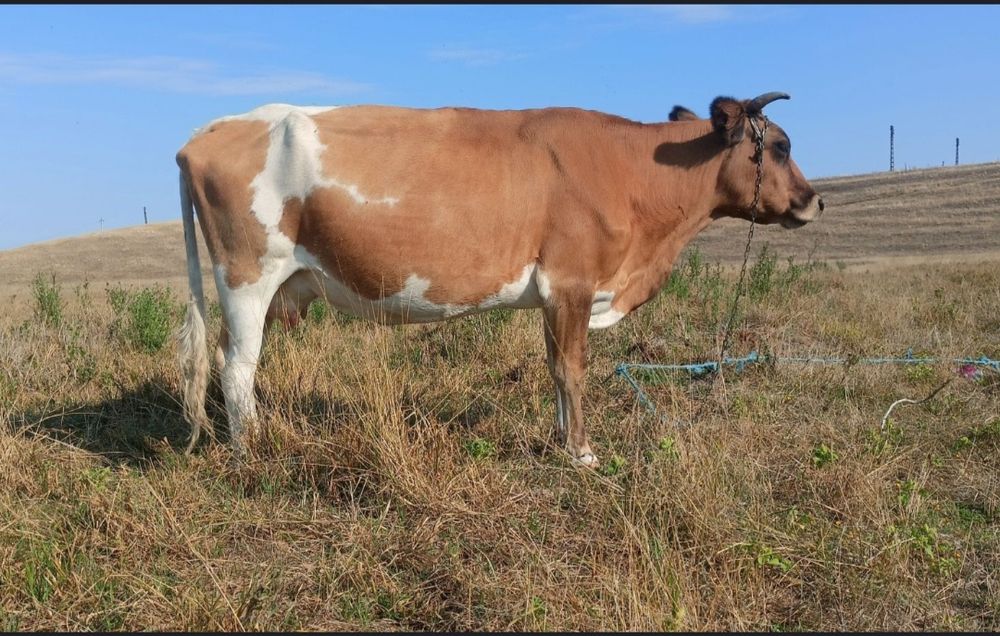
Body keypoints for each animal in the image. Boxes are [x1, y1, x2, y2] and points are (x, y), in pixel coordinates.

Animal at [175, 92, 824, 466]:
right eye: (782, 144)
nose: (815, 201)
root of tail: (207, 132)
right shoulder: (572, 282)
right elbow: (572, 369)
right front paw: (583, 454)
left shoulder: (555, 295)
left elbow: (555, 368)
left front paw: (562, 440)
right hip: (246, 275)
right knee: (238, 368)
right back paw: (253, 451)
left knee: (230, 361)